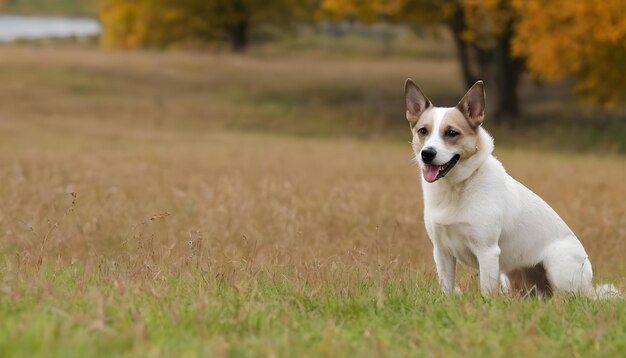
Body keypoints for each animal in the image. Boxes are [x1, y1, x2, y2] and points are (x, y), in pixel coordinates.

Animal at [402, 79, 616, 298]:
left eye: (452, 133)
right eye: (423, 131)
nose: (427, 154)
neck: (458, 186)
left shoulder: (487, 251)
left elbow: (486, 292)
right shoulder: (442, 251)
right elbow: (446, 288)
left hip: (558, 268)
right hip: (511, 279)